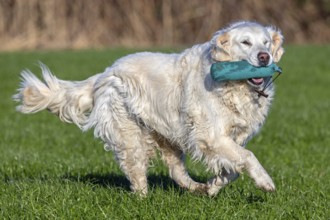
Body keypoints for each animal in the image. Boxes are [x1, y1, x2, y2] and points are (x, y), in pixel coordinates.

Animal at [13, 21, 284, 196]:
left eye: (266, 42)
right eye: (245, 42)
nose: (264, 57)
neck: (236, 86)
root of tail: (106, 72)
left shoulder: (231, 138)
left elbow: (234, 167)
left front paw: (214, 185)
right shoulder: (211, 136)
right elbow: (247, 157)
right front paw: (265, 182)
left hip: (169, 135)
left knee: (177, 172)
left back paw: (197, 187)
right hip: (130, 136)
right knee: (136, 171)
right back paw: (143, 198)